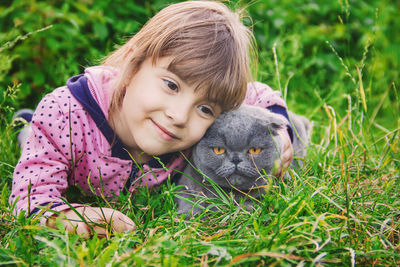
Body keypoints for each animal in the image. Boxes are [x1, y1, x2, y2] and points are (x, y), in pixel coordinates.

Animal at [176, 103, 312, 217]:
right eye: (219, 150)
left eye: (254, 150)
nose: (236, 159)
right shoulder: (185, 183)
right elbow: (187, 199)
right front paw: (188, 214)